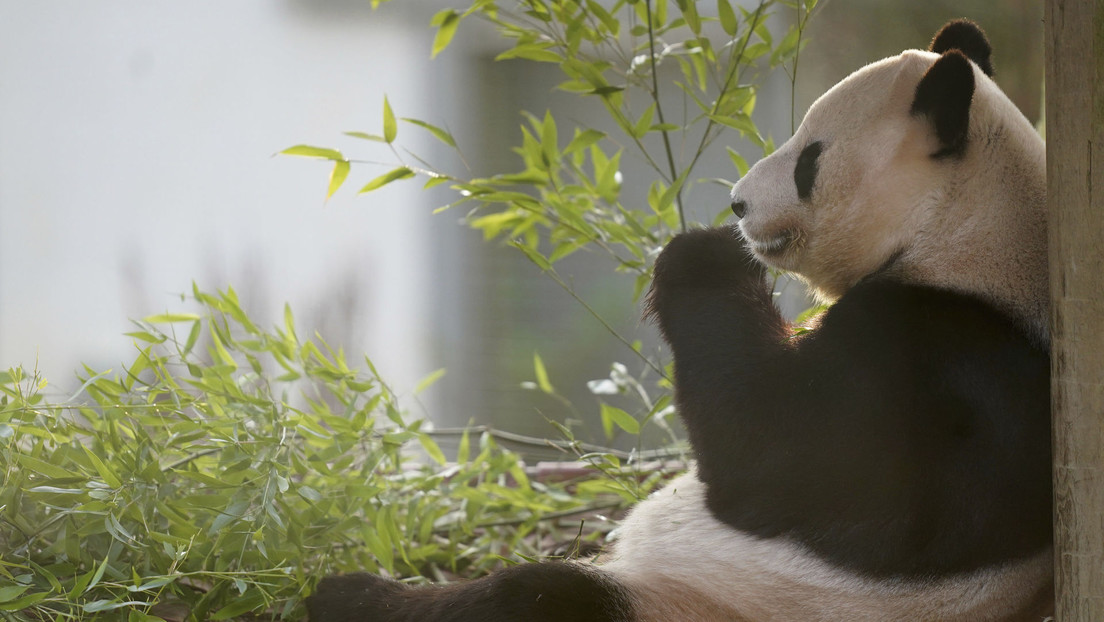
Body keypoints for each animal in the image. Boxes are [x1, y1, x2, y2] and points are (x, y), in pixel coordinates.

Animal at [307, 19, 1052, 622]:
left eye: (810, 159)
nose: (739, 203)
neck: (963, 230)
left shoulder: (939, 353)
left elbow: (782, 455)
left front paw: (700, 253)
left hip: (700, 604)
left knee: (539, 600)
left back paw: (350, 594)